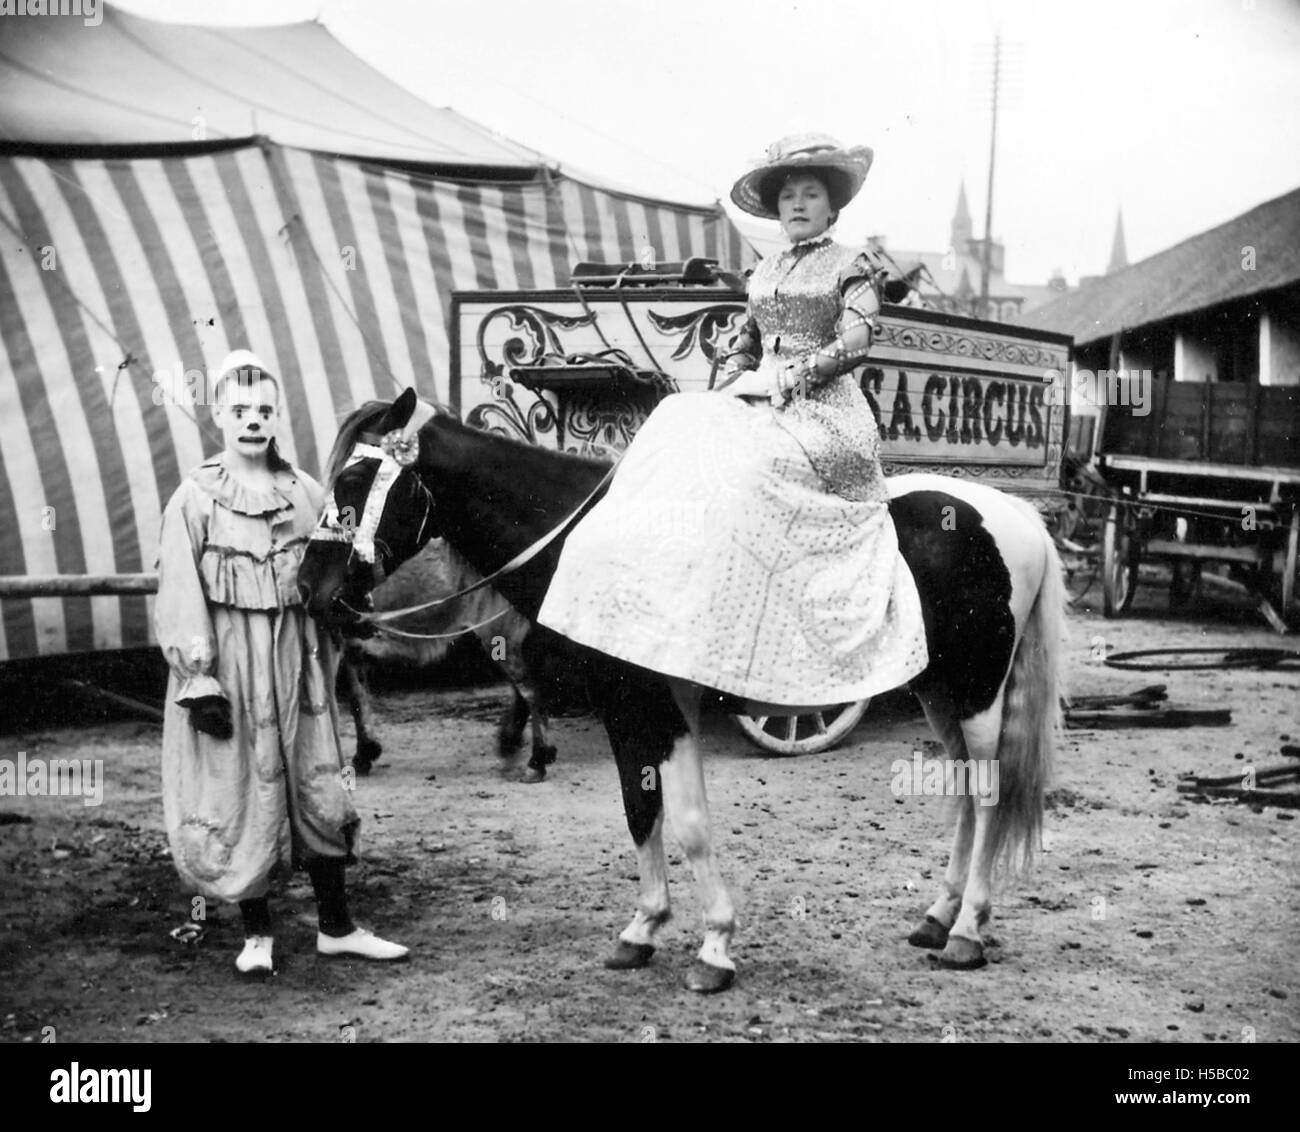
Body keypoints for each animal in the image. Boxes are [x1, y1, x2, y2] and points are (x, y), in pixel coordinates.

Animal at [332, 540, 556, 779]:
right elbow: (356, 691)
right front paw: (366, 751)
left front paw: (363, 754)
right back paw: (515, 745)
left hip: (498, 628)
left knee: (529, 685)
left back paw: (536, 758)